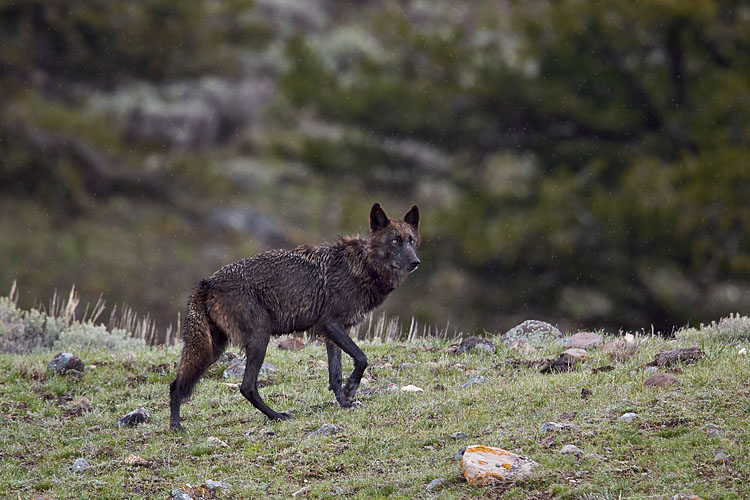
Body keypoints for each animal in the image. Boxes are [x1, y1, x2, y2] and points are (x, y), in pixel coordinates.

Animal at [169, 203, 420, 430]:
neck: (365, 266)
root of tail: (207, 283)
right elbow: (362, 358)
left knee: (175, 384)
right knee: (246, 387)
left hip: (213, 351)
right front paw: (350, 390)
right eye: (395, 241)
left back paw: (175, 426)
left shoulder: (333, 333)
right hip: (258, 340)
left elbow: (335, 375)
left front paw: (345, 402)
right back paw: (276, 416)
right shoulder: (330, 324)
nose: (416, 262)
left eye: (412, 241)